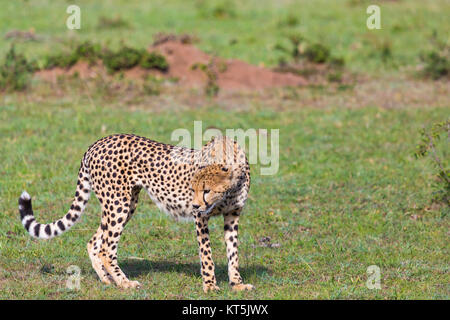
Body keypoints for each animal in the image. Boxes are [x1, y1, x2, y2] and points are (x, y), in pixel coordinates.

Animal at [19, 132, 255, 292]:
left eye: (206, 190)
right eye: (192, 189)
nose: (195, 205)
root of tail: (97, 143)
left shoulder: (232, 215)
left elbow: (233, 252)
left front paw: (237, 284)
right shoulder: (201, 218)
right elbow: (207, 255)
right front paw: (210, 286)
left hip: (124, 204)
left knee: (94, 241)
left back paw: (107, 280)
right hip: (118, 203)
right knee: (106, 248)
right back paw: (125, 283)